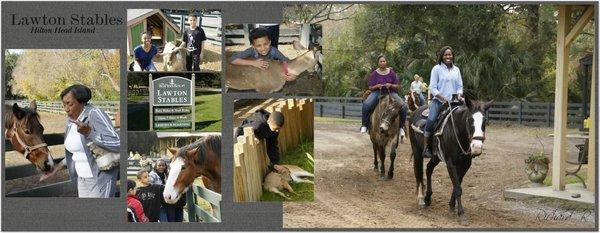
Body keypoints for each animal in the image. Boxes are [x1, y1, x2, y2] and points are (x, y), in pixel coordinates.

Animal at [408, 97, 492, 225]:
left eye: (484, 120)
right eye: (470, 120)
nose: (477, 147)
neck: (457, 131)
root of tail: (415, 112)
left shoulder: (465, 164)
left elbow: (457, 185)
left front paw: (452, 207)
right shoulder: (450, 163)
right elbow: (457, 188)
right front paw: (461, 214)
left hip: (436, 157)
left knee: (428, 169)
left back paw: (428, 198)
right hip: (417, 151)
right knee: (419, 172)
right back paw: (421, 199)